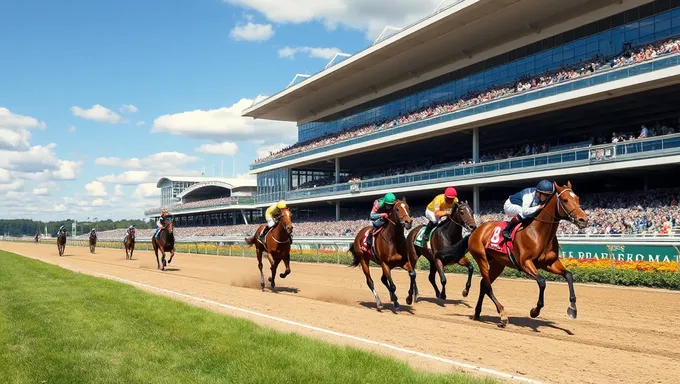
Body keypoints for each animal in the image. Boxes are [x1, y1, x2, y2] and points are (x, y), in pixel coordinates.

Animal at [440, 182, 588, 326]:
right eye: (565, 200)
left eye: (577, 198)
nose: (584, 219)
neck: (538, 232)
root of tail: (476, 230)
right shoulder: (525, 263)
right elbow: (542, 282)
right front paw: (535, 311)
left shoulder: (550, 263)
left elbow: (569, 275)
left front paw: (572, 309)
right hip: (481, 258)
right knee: (488, 286)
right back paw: (502, 315)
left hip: (497, 264)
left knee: (484, 284)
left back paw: (477, 313)